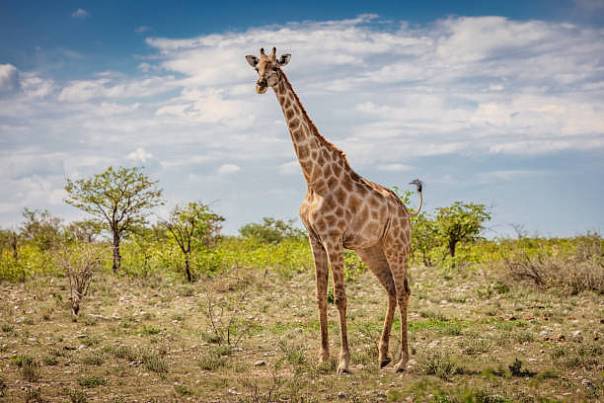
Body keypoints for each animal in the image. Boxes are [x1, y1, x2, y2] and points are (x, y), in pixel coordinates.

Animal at [247, 48, 424, 376]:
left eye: (276, 67)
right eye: (258, 67)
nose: (261, 84)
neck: (313, 177)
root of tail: (407, 212)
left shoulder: (333, 238)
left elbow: (340, 297)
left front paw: (343, 361)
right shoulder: (314, 239)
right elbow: (319, 296)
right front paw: (323, 358)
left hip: (397, 244)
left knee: (404, 290)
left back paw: (403, 360)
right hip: (372, 249)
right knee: (392, 290)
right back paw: (383, 355)